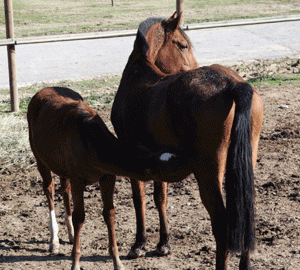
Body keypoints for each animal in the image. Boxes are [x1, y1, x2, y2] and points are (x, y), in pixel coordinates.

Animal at [27, 86, 172, 270]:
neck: (91, 142)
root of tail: (40, 92)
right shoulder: (78, 180)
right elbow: (80, 217)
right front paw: (75, 262)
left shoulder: (107, 178)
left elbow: (109, 214)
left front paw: (117, 262)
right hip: (40, 160)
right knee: (49, 189)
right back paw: (54, 240)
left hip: (62, 167)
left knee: (64, 188)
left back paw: (71, 233)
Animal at [111, 12, 264, 270]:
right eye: (182, 45)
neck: (139, 75)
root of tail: (234, 84)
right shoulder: (156, 158)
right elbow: (160, 198)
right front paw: (163, 243)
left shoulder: (133, 155)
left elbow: (139, 199)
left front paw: (139, 244)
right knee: (245, 212)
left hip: (208, 172)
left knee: (221, 222)